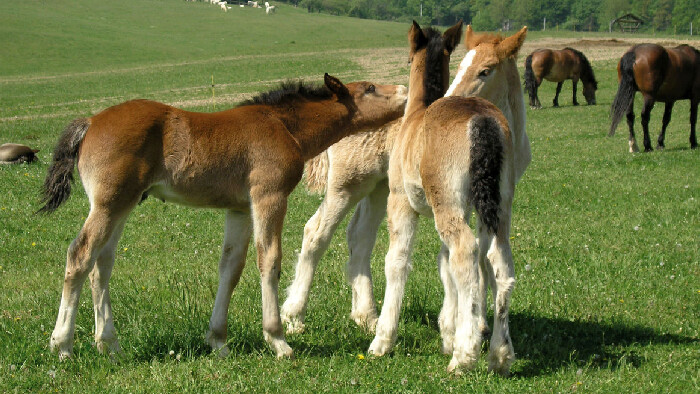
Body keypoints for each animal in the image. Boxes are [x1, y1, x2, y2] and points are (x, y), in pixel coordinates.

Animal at [38, 74, 408, 360]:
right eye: (370, 88)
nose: (405, 90)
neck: (284, 126)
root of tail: (89, 123)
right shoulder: (268, 197)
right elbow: (269, 260)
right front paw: (277, 340)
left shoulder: (240, 209)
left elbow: (231, 268)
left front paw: (218, 341)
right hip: (109, 204)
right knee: (80, 255)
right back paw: (63, 345)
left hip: (123, 205)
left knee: (102, 263)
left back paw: (109, 345)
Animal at [280, 25, 532, 342]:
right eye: (460, 65)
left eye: (486, 71)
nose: (448, 99)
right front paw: (459, 328)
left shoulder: (487, 203)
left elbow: (483, 259)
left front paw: (477, 325)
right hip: (348, 185)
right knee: (316, 233)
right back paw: (293, 316)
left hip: (379, 187)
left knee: (360, 235)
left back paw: (366, 316)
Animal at [366, 21, 520, 376]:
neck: (417, 114)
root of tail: (482, 121)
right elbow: (444, 265)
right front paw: (449, 333)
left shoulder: (400, 203)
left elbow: (397, 261)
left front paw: (382, 340)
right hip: (498, 207)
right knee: (498, 262)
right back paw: (500, 354)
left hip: (447, 206)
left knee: (466, 253)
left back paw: (465, 355)